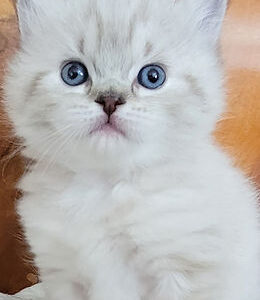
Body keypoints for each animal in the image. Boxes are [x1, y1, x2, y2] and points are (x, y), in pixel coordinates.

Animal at [2, 0, 260, 300]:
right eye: (73, 74)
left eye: (152, 77)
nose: (110, 100)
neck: (105, 189)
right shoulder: (63, 276)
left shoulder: (183, 271)